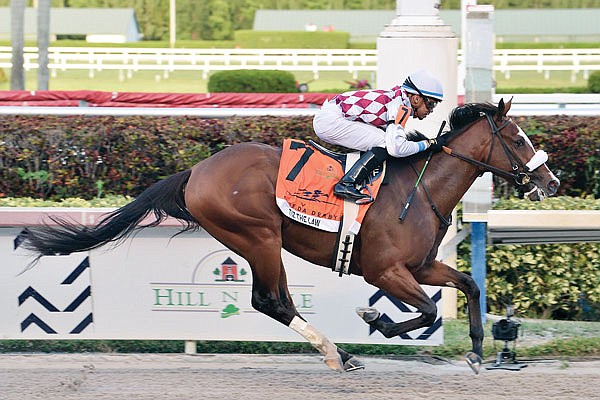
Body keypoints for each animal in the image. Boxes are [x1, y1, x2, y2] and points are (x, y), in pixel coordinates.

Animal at [22, 98, 556, 374]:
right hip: (257, 236)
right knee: (270, 300)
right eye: (518, 138)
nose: (549, 182)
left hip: (263, 242)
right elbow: (424, 310)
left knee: (277, 300)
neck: (419, 189)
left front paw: (476, 351)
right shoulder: (386, 270)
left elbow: (470, 285)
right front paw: (375, 318)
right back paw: (337, 353)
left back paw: (339, 352)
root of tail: (196, 170)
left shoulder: (422, 265)